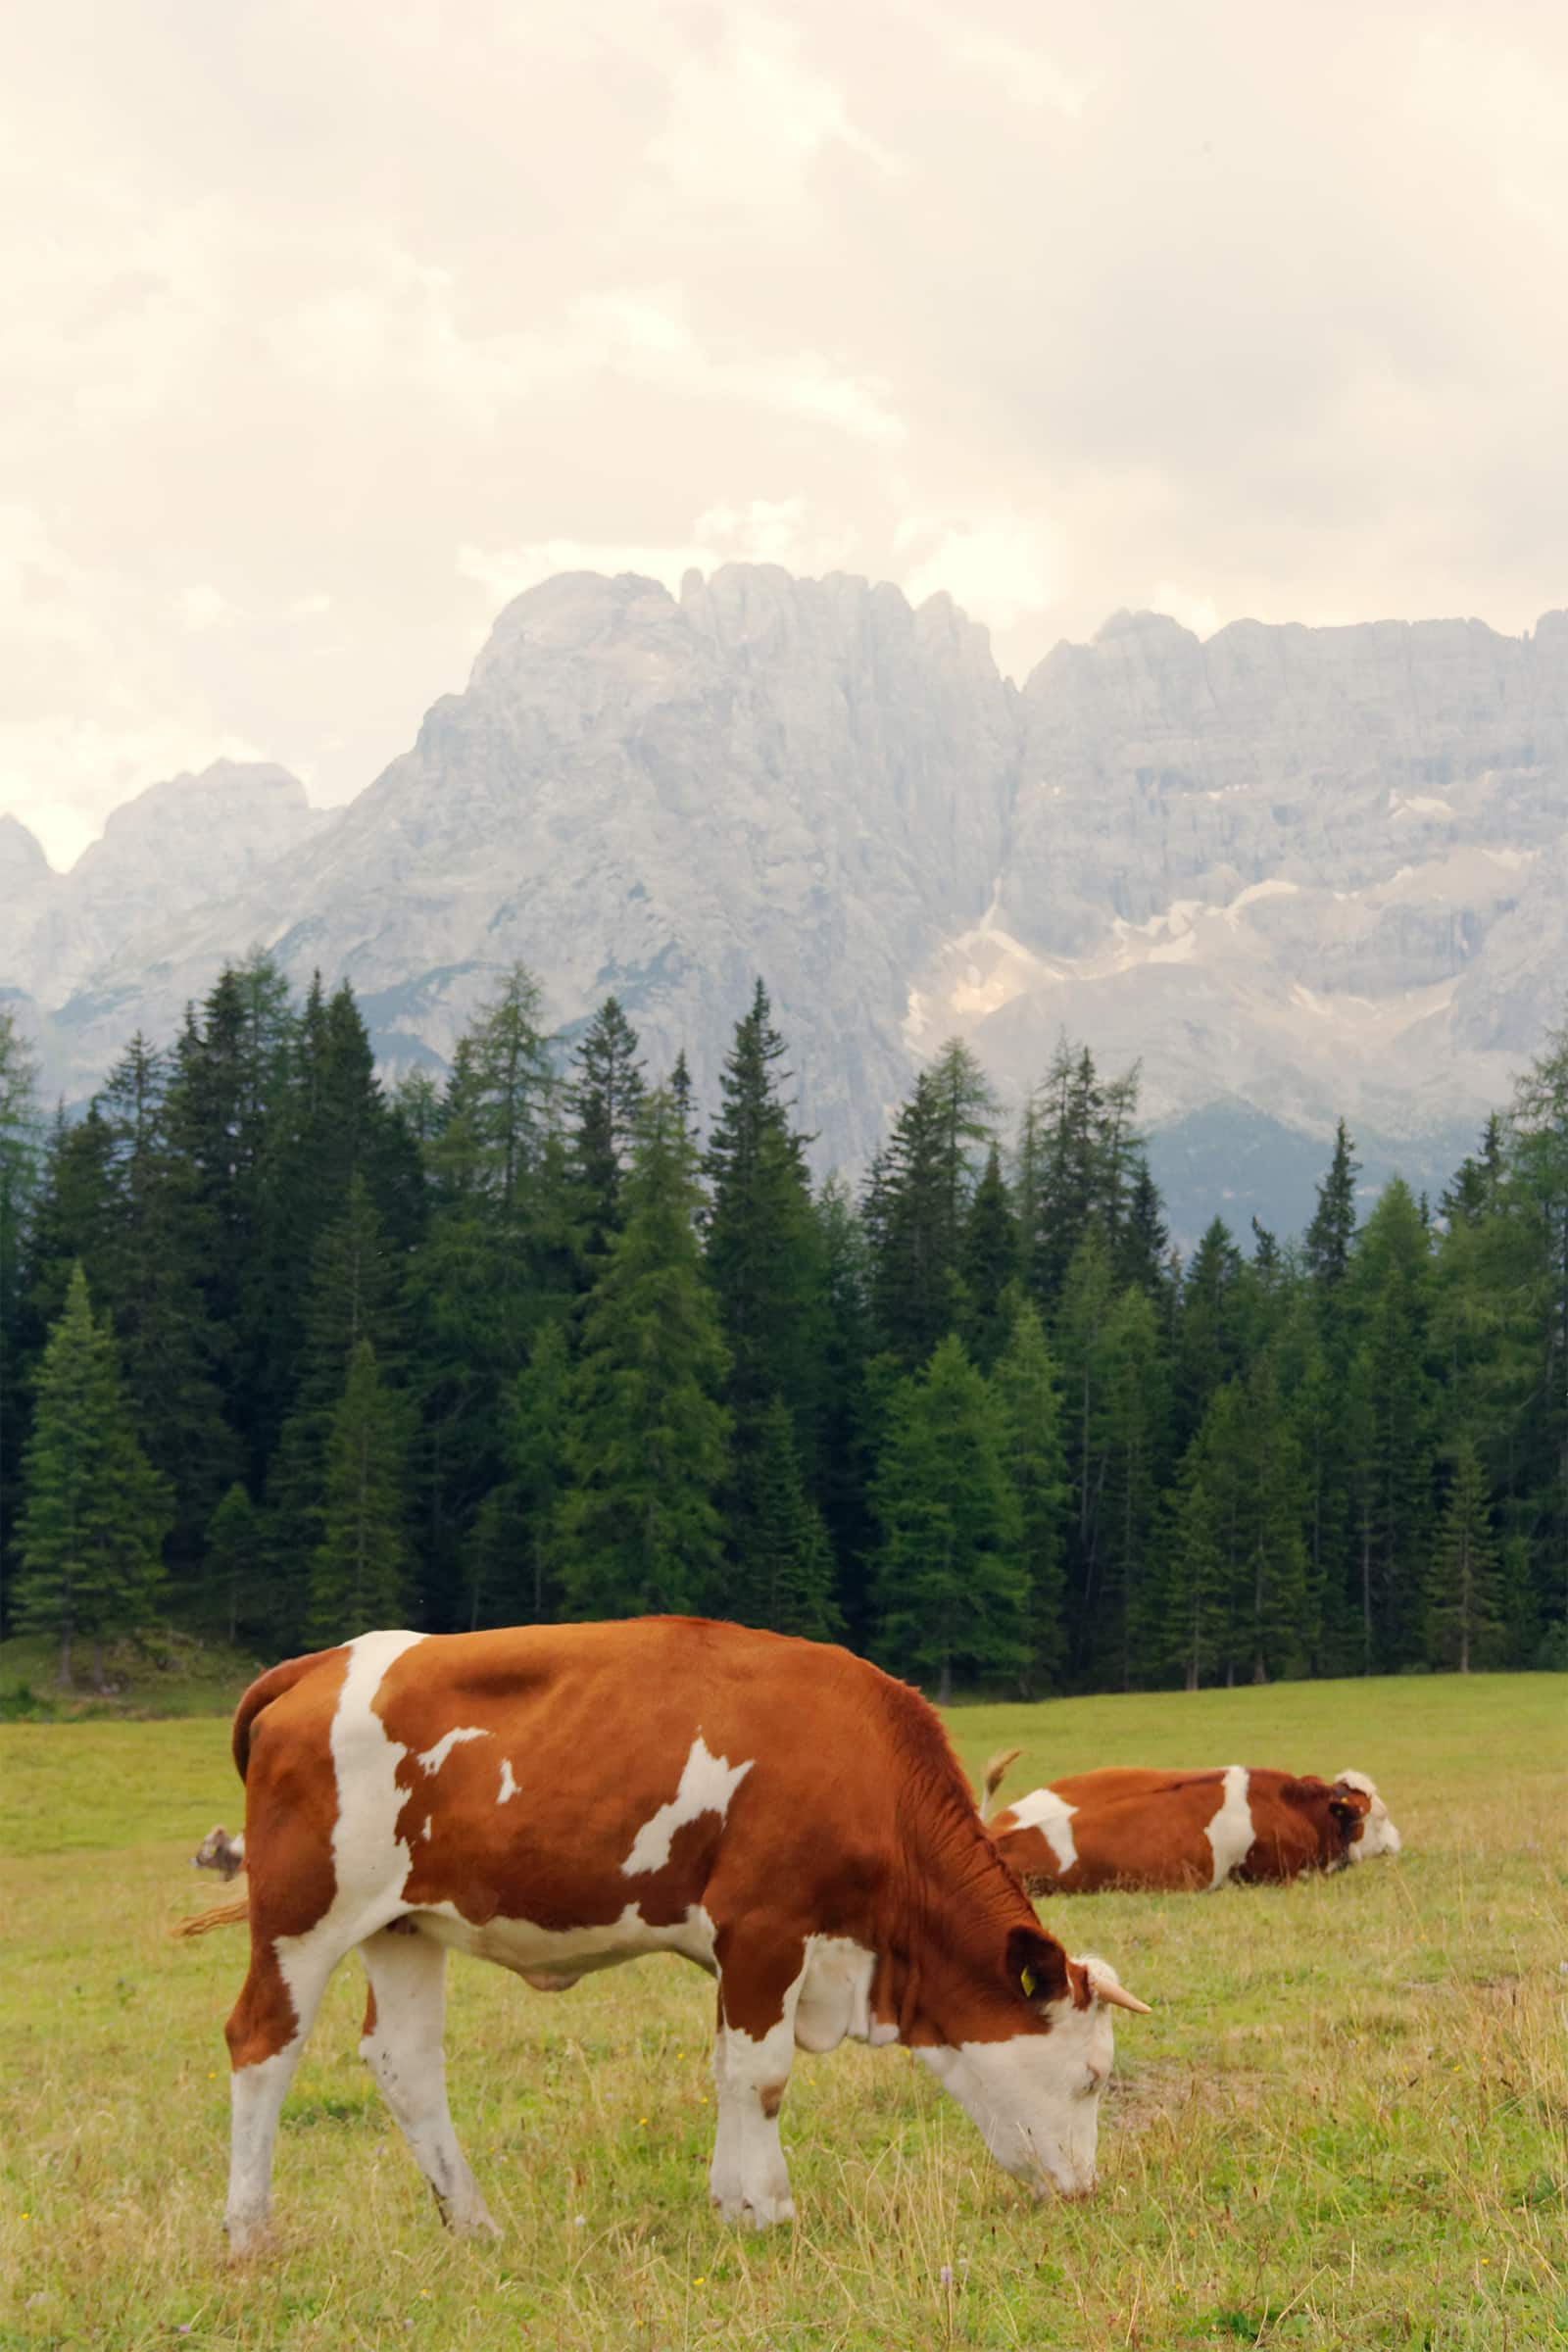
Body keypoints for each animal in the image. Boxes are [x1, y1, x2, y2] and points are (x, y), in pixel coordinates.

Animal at [180, 1618, 1152, 2258]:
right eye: (1092, 2077)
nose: (1085, 2193)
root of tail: (320, 1662)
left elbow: (728, 2070)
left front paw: (734, 2203)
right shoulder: (765, 1929)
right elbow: (759, 2076)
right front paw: (766, 2210)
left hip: (402, 1925)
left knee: (404, 2061)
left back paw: (475, 2224)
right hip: (303, 1915)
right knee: (263, 2041)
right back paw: (249, 2235)